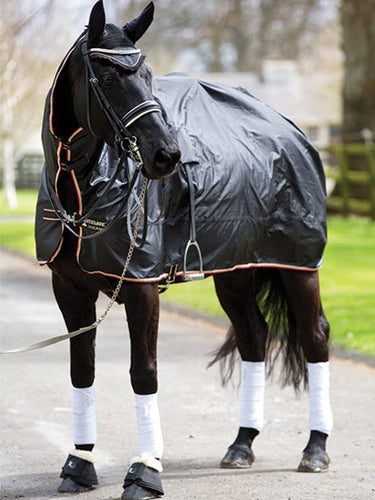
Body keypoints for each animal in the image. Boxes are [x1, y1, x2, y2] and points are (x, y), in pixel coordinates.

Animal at [35, 0, 334, 500]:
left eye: (148, 74)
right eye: (109, 78)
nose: (166, 156)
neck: (81, 189)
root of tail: (290, 131)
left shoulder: (141, 287)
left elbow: (144, 373)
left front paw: (145, 472)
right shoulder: (70, 290)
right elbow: (82, 371)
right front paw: (79, 464)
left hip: (298, 267)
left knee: (314, 339)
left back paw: (315, 448)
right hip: (235, 272)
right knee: (254, 338)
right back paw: (242, 444)